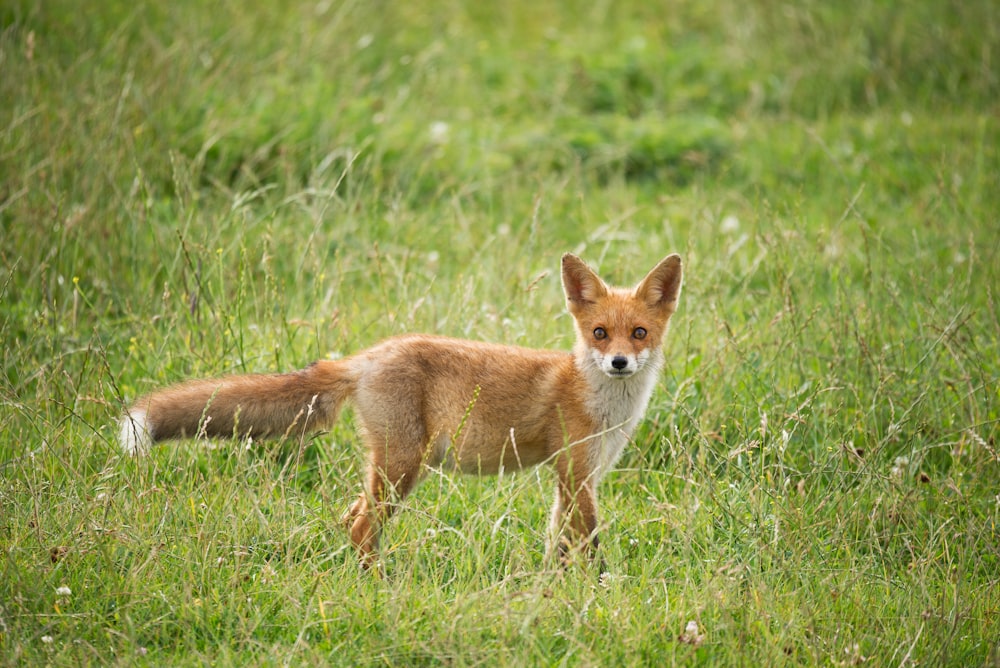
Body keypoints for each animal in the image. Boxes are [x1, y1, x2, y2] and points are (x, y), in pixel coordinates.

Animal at [115, 253, 680, 572]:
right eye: (599, 333)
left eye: (639, 333)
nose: (620, 363)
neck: (601, 402)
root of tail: (367, 356)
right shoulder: (576, 474)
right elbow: (591, 544)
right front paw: (599, 591)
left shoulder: (576, 477)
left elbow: (560, 543)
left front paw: (555, 592)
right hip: (404, 465)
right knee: (362, 526)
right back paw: (378, 587)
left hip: (392, 468)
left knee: (348, 519)